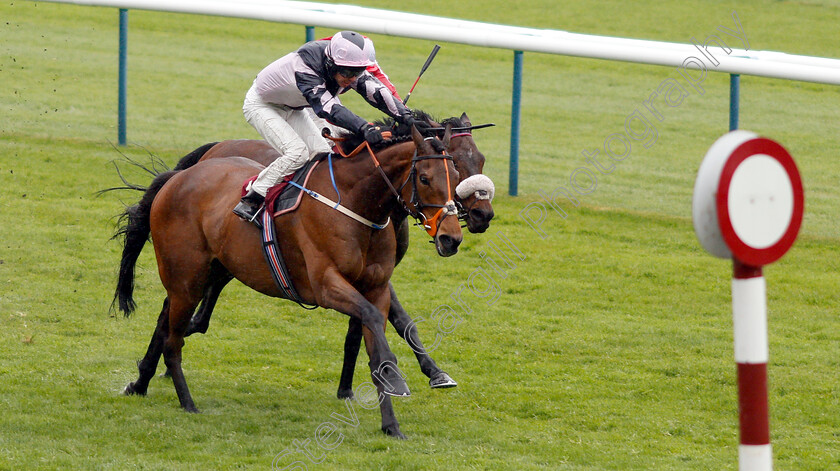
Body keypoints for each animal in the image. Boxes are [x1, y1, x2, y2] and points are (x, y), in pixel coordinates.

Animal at [113, 126, 460, 438]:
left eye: (456, 178)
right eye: (424, 178)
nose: (451, 238)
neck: (355, 204)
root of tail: (176, 177)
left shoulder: (376, 288)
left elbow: (378, 340)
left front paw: (391, 425)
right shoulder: (325, 286)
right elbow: (374, 321)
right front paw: (398, 380)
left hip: (203, 273)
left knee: (167, 322)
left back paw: (140, 383)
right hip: (186, 278)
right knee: (173, 340)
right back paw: (187, 402)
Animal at [171, 112, 496, 400]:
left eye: (479, 160)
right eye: (430, 177)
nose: (483, 215)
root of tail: (217, 146)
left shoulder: (372, 277)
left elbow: (361, 328)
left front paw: (352, 386)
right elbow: (400, 319)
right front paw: (428, 372)